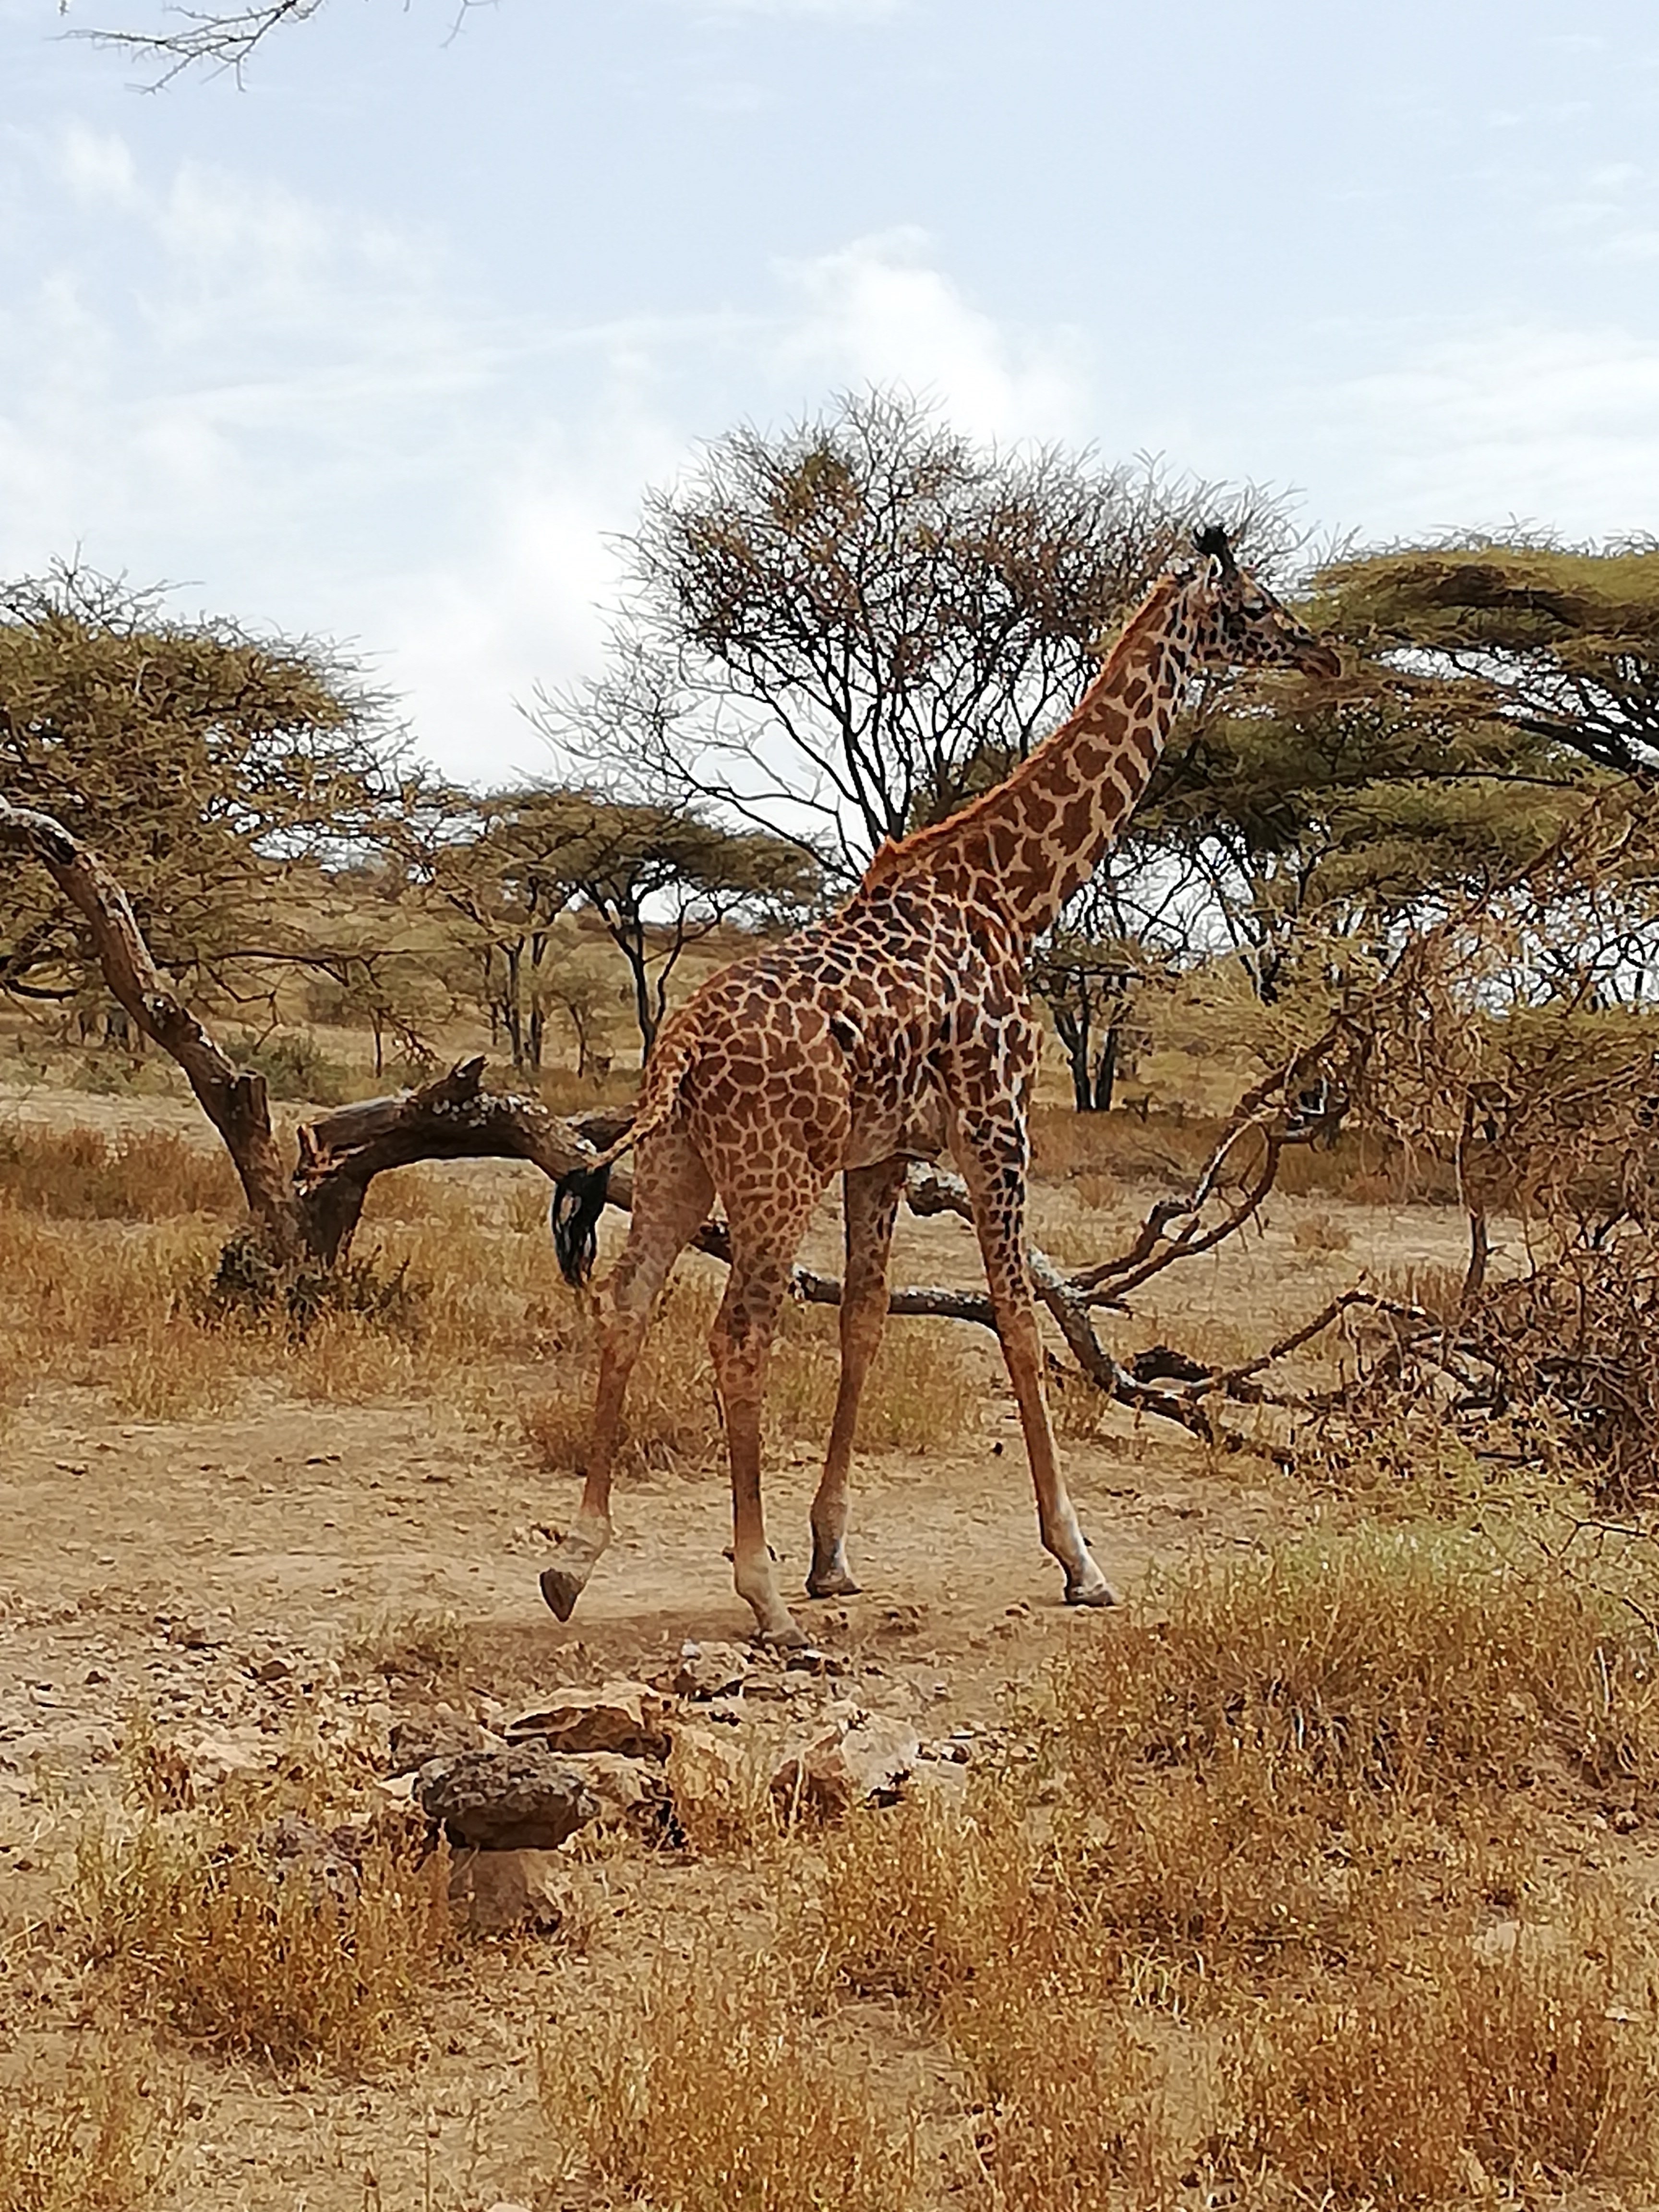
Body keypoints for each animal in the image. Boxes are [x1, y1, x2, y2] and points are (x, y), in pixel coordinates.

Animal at [541, 529, 1341, 1644]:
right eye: (1258, 604)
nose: (1325, 654)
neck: (1011, 895)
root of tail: (682, 1051)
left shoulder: (885, 1154)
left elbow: (866, 1321)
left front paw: (833, 1554)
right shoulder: (997, 1125)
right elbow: (1018, 1321)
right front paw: (1078, 1559)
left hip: (679, 1165)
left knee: (627, 1306)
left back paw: (574, 1562)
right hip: (774, 1174)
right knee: (737, 1333)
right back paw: (762, 1595)